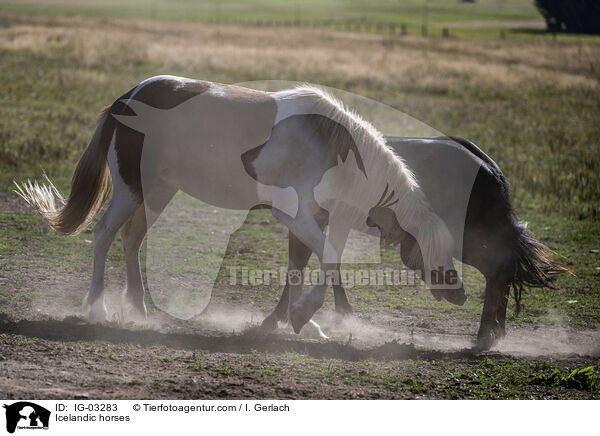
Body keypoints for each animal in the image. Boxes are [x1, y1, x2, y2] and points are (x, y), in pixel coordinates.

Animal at [12, 76, 464, 334]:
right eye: (436, 249)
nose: (459, 293)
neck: (329, 146)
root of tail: (126, 99)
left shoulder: (308, 220)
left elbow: (301, 266)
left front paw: (291, 321)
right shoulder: (296, 216)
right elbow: (329, 258)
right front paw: (306, 316)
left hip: (156, 193)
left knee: (131, 238)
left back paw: (138, 310)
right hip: (130, 190)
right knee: (106, 234)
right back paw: (97, 308)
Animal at [260, 135, 560, 350]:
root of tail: (488, 166)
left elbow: (302, 264)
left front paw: (280, 318)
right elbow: (314, 263)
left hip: (467, 241)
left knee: (499, 270)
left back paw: (487, 334)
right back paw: (495, 332)